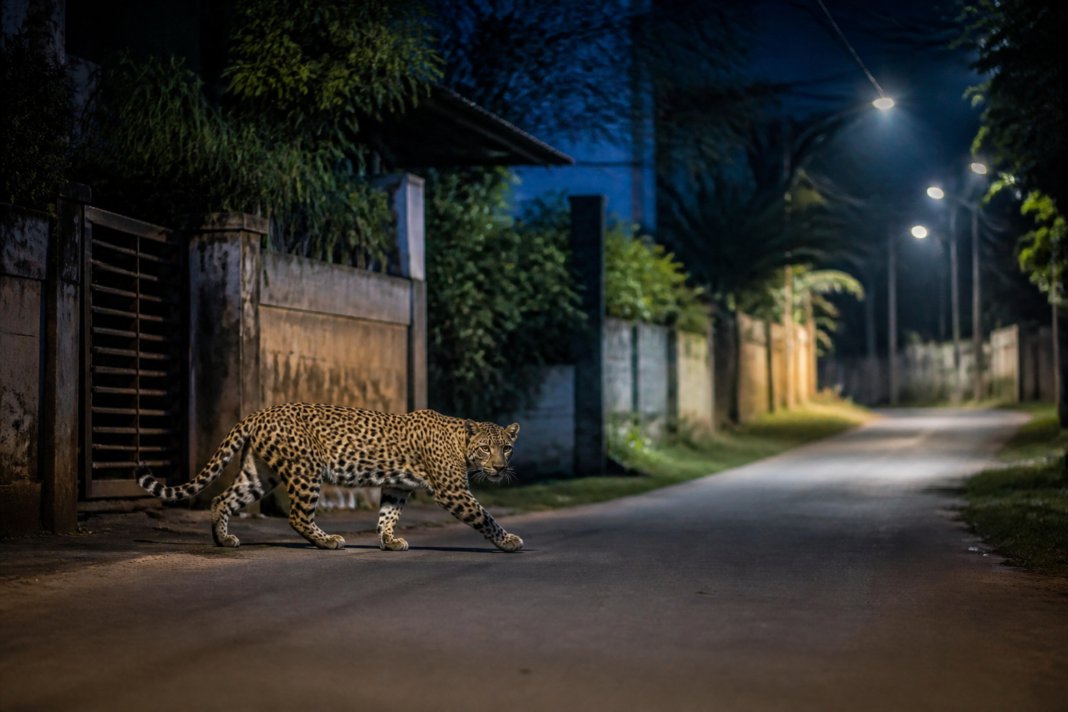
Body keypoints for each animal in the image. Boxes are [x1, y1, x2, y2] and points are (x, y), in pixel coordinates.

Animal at [137, 404, 523, 552]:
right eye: (486, 449)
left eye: (507, 448)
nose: (500, 468)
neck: (461, 443)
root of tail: (260, 411)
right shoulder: (452, 491)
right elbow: (485, 516)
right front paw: (508, 541)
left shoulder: (396, 486)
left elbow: (387, 516)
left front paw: (388, 541)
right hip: (306, 469)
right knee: (297, 516)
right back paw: (328, 541)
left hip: (259, 473)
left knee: (223, 498)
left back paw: (223, 540)